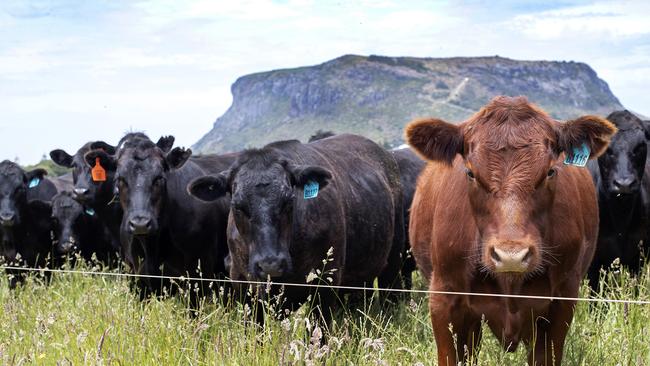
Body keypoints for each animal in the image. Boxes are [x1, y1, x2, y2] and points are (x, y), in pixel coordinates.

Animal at [85, 133, 234, 302]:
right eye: (119, 178)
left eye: (159, 178)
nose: (140, 223)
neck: (152, 247)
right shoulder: (136, 279)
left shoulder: (199, 275)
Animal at [185, 135, 402, 324]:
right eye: (237, 206)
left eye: (288, 200)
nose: (270, 264)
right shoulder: (243, 282)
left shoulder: (325, 281)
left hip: (392, 265)